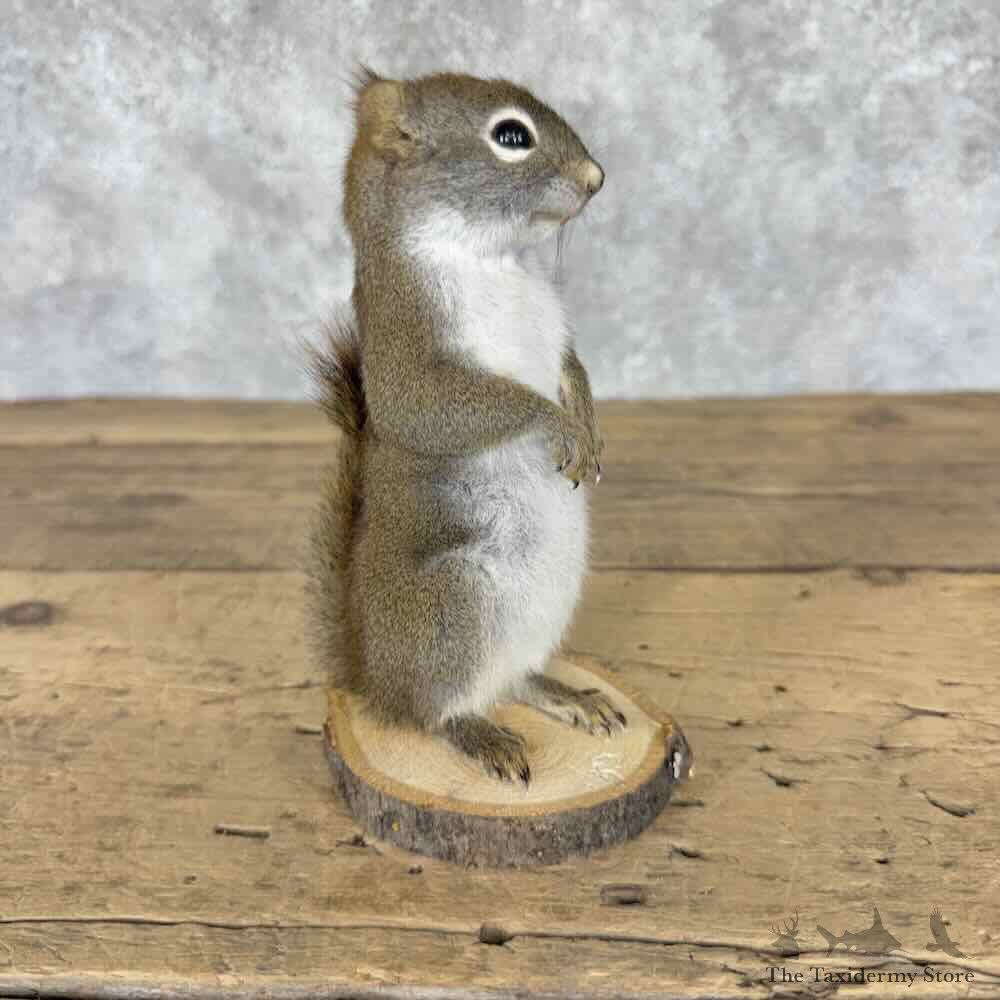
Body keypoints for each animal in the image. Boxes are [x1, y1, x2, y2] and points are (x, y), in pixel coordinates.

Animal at [305, 68, 625, 786]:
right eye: (510, 136)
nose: (595, 178)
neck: (490, 259)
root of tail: (375, 681)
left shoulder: (556, 330)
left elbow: (572, 366)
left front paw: (589, 427)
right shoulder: (407, 345)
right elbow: (436, 406)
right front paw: (558, 425)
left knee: (513, 680)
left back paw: (567, 696)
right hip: (454, 609)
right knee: (437, 712)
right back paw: (480, 735)